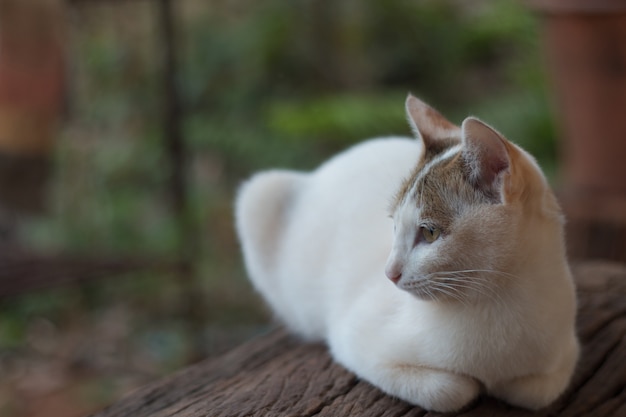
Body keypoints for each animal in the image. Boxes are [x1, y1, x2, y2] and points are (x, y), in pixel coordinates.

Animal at [234, 95, 576, 412]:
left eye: (430, 233)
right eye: (394, 225)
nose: (389, 273)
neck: (497, 300)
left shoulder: (564, 355)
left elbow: (532, 391)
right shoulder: (353, 340)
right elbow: (450, 391)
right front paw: (473, 385)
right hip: (260, 193)